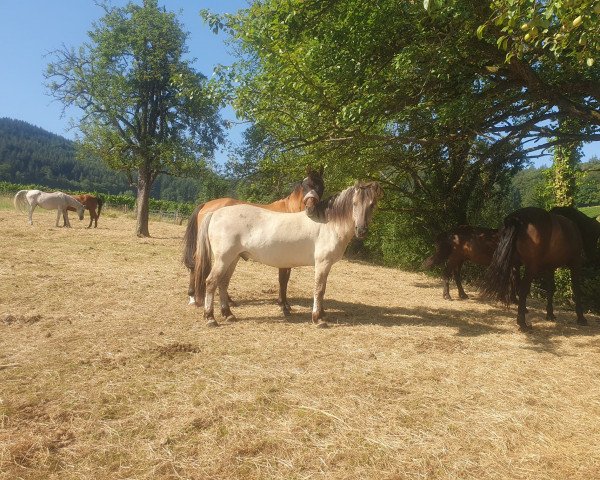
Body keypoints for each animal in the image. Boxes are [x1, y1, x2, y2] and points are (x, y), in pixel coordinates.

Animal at [182, 166, 326, 316]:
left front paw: (285, 304)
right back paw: (197, 298)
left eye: (321, 186)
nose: (311, 208)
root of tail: (206, 205)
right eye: (305, 186)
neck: (290, 211)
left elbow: (285, 280)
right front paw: (283, 305)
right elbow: (282, 280)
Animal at [192, 182, 382, 328]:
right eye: (354, 203)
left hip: (233, 258)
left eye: (372, 204)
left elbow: (323, 289)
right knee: (211, 282)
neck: (328, 224)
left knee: (223, 283)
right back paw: (210, 318)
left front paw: (322, 315)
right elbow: (319, 289)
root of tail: (215, 213)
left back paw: (228, 314)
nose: (361, 230)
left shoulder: (326, 266)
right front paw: (317, 319)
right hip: (224, 258)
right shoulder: (322, 263)